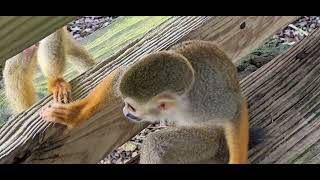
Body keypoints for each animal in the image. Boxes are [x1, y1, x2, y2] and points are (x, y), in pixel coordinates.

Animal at [40, 40, 249, 164]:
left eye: (132, 107)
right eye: (126, 104)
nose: (124, 112)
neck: (180, 104)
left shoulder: (204, 105)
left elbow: (235, 108)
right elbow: (119, 75)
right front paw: (76, 114)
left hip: (213, 138)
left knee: (157, 142)